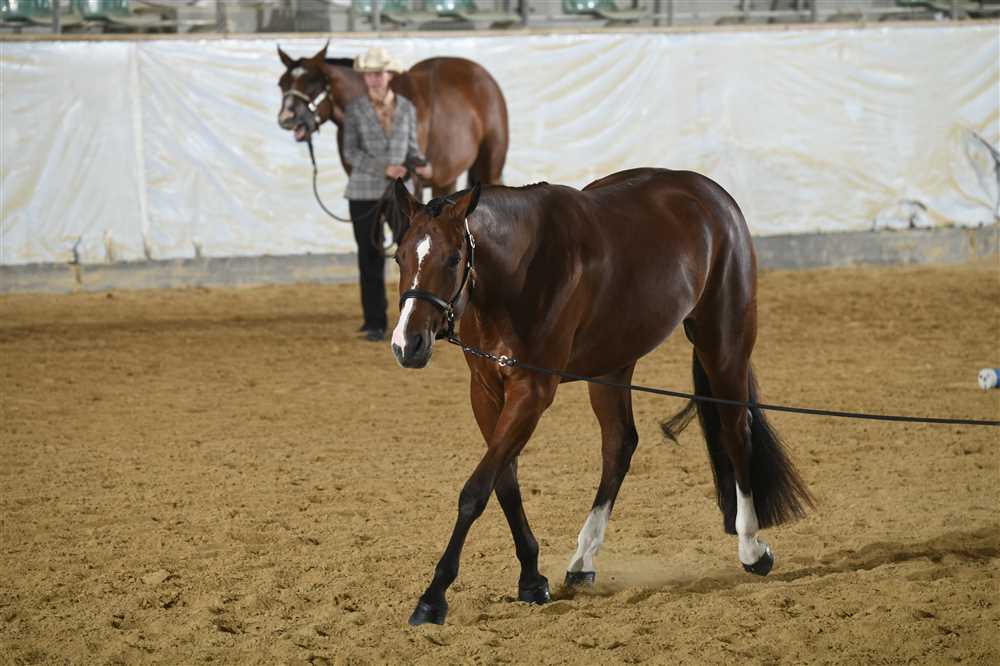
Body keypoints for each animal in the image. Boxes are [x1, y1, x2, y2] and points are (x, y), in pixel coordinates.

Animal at [380, 167, 815, 626]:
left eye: (451, 259)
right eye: (399, 258)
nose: (408, 344)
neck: (520, 272)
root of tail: (714, 196)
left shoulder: (532, 391)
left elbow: (476, 491)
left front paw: (433, 596)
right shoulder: (484, 390)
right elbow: (504, 483)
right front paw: (531, 579)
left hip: (724, 344)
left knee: (735, 434)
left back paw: (751, 547)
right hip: (612, 366)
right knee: (619, 445)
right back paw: (582, 560)